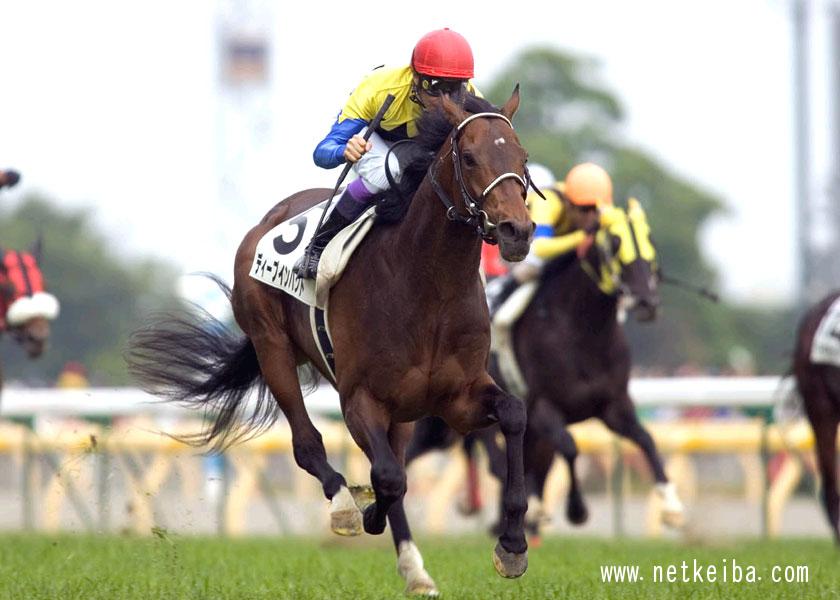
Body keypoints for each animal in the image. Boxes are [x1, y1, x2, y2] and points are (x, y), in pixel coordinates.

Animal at [131, 92, 540, 596]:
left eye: (522, 158)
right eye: (469, 157)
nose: (516, 231)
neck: (429, 285)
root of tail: (268, 219)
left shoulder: (457, 397)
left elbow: (513, 415)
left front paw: (513, 545)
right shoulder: (360, 397)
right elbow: (388, 477)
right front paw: (364, 509)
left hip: (404, 411)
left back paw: (415, 570)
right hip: (272, 347)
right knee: (309, 445)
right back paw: (346, 505)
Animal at [410, 202, 684, 540]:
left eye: (650, 240)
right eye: (615, 242)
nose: (647, 302)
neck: (583, 331)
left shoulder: (614, 405)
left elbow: (645, 439)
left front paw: (672, 506)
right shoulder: (541, 407)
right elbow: (569, 447)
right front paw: (576, 509)